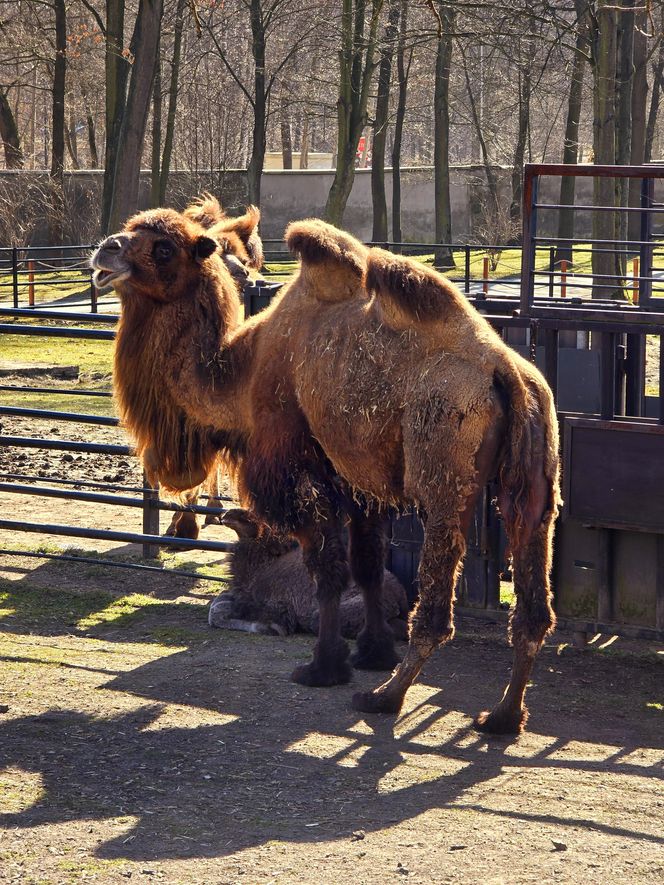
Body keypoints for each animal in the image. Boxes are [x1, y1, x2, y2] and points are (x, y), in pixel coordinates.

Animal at [211, 508, 410, 640]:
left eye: (250, 518)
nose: (226, 515)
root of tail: (401, 596)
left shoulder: (276, 605)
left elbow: (218, 610)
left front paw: (271, 628)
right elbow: (218, 602)